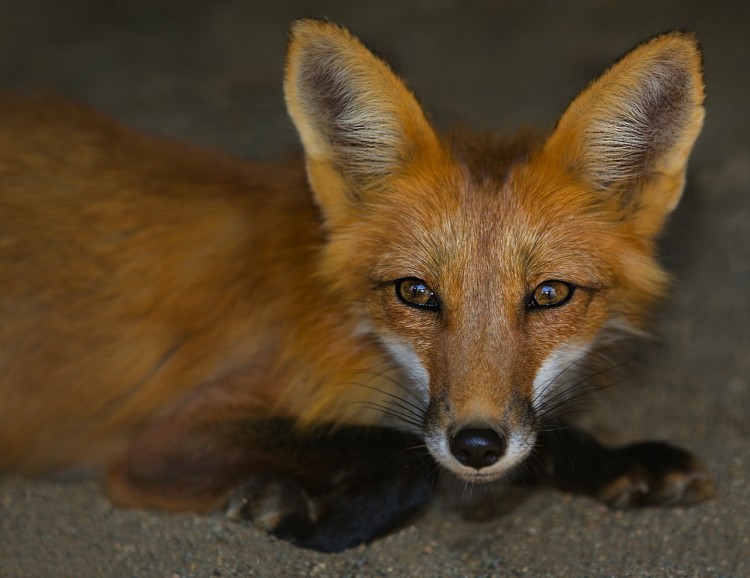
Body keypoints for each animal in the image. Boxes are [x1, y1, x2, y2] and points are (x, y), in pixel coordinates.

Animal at [0, 20, 714, 552]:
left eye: (549, 295)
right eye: (415, 293)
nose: (477, 446)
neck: (355, 328)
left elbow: (530, 441)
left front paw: (619, 460)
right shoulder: (164, 441)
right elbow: (399, 455)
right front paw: (294, 515)